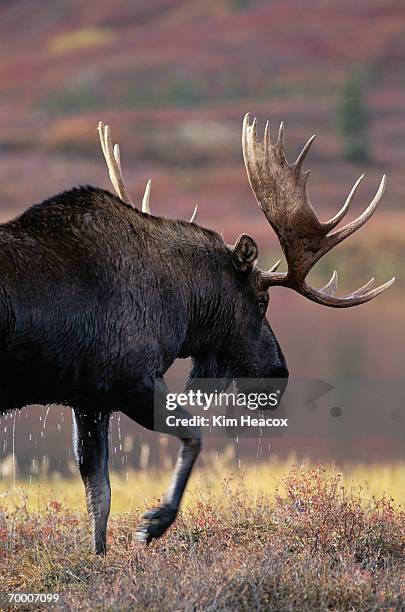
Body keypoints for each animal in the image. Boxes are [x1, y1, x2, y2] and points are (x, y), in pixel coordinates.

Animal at [0, 112, 392, 552]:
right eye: (262, 302)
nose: (279, 373)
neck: (180, 306)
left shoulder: (87, 398)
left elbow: (98, 495)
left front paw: (101, 558)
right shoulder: (130, 380)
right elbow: (194, 437)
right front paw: (154, 522)